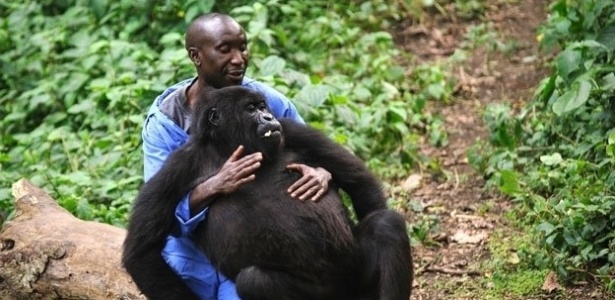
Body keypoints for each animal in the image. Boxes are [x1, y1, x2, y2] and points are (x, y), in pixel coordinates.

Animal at [122, 85, 414, 298]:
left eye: (263, 106)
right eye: (251, 109)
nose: (268, 116)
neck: (228, 146)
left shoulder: (293, 129)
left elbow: (357, 179)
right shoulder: (177, 167)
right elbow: (142, 251)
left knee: (385, 224)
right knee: (255, 281)